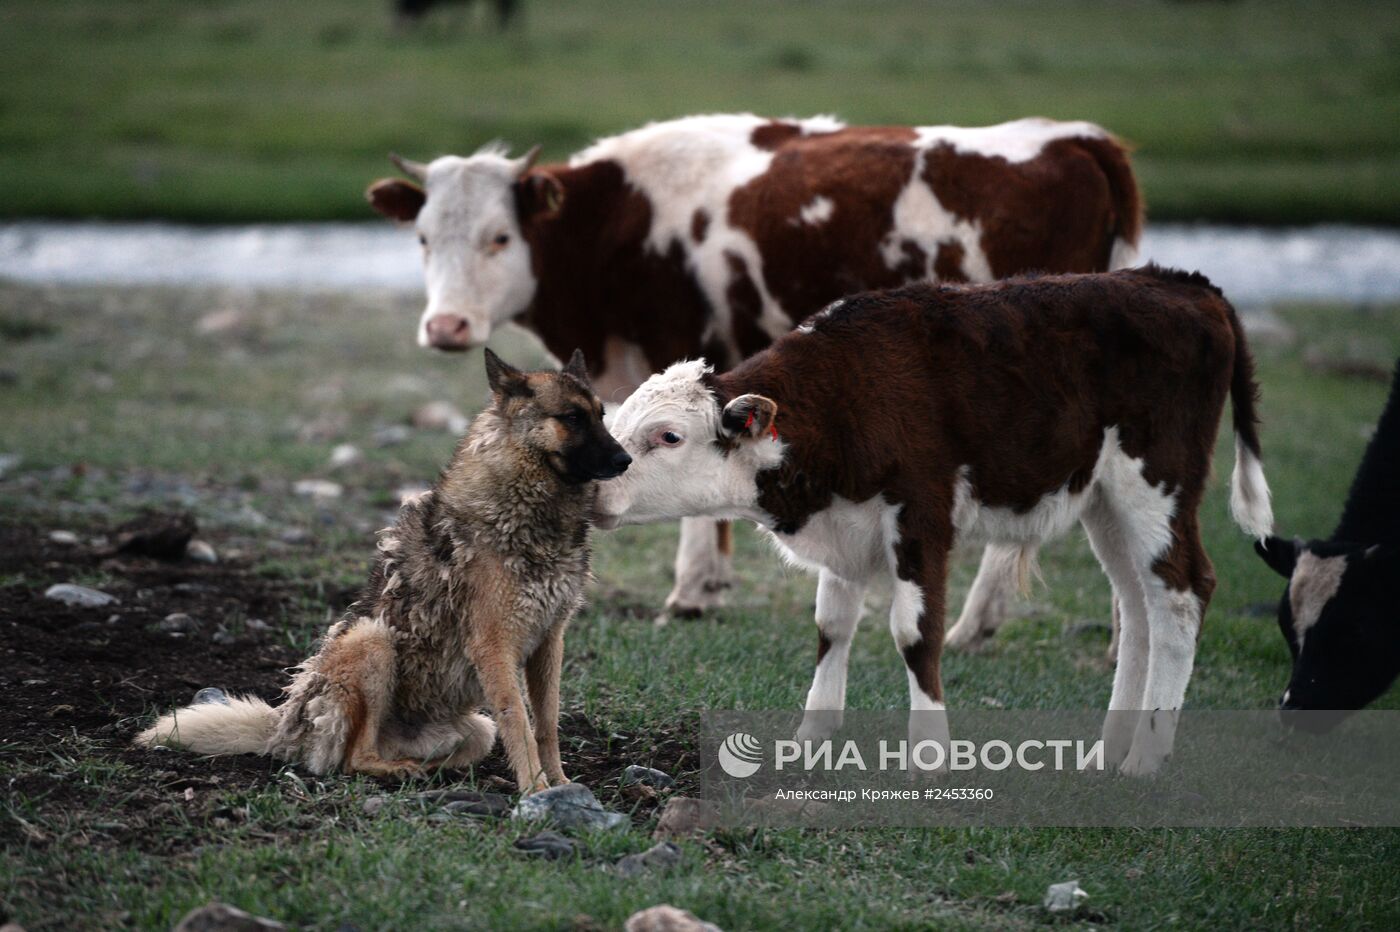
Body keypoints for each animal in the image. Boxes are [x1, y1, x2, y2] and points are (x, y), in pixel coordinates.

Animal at [136, 349, 630, 789]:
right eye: (572, 418)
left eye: (601, 415)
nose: (625, 460)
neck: (531, 510)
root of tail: (284, 726)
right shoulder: (495, 647)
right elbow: (521, 725)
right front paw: (535, 792)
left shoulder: (549, 642)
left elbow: (546, 726)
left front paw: (560, 784)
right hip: (373, 641)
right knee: (352, 759)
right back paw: (396, 771)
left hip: (476, 730)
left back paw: (426, 773)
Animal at [596, 264, 1276, 772]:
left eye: (668, 436)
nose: (594, 484)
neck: (845, 396)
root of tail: (1182, 283)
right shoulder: (845, 528)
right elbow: (831, 626)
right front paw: (812, 737)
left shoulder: (921, 515)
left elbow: (914, 633)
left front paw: (929, 753)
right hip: (1106, 501)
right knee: (1137, 605)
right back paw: (1107, 753)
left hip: (1156, 485)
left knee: (1181, 595)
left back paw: (1145, 758)